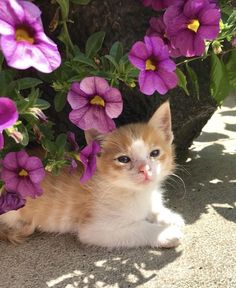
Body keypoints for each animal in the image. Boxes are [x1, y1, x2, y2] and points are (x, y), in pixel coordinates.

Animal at [0, 102, 184, 249]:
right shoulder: (95, 229)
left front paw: (169, 217)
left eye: (155, 153)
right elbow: (138, 228)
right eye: (123, 159)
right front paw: (165, 234)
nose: (145, 169)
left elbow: (154, 210)